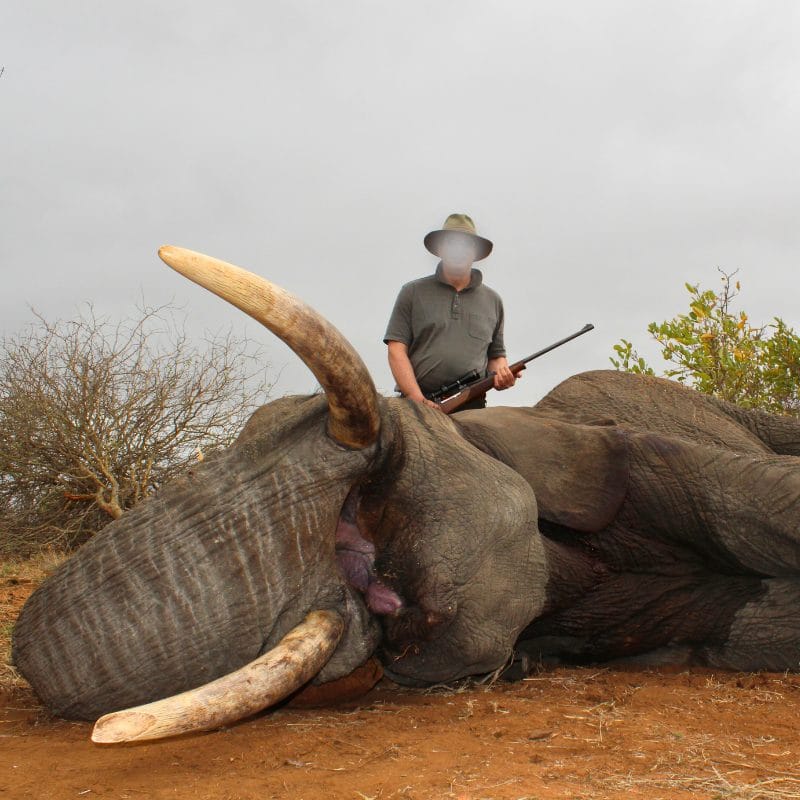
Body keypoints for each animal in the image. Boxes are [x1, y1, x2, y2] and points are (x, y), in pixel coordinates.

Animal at [12, 246, 800, 744]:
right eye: (397, 608)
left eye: (386, 481)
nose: (21, 656)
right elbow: (752, 632)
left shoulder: (622, 454)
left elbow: (771, 502)